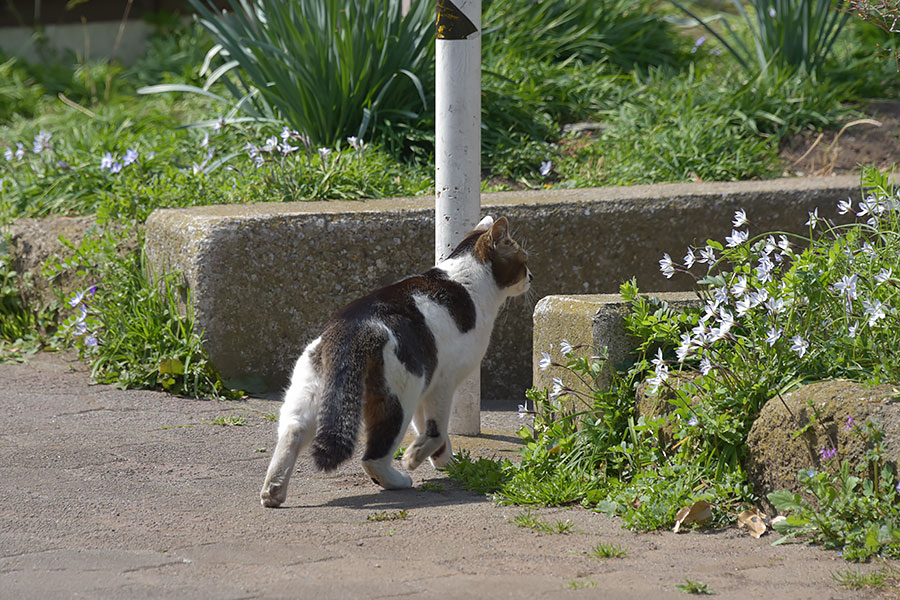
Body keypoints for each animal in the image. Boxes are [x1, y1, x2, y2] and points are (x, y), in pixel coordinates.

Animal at [258, 216, 528, 506]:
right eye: (524, 261)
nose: (531, 277)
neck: (466, 280)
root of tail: (353, 328)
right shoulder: (441, 383)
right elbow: (436, 431)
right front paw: (414, 457)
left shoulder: (426, 388)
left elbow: (432, 432)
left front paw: (447, 463)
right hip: (398, 399)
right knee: (372, 457)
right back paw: (396, 479)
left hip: (311, 392)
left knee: (292, 431)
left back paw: (273, 491)